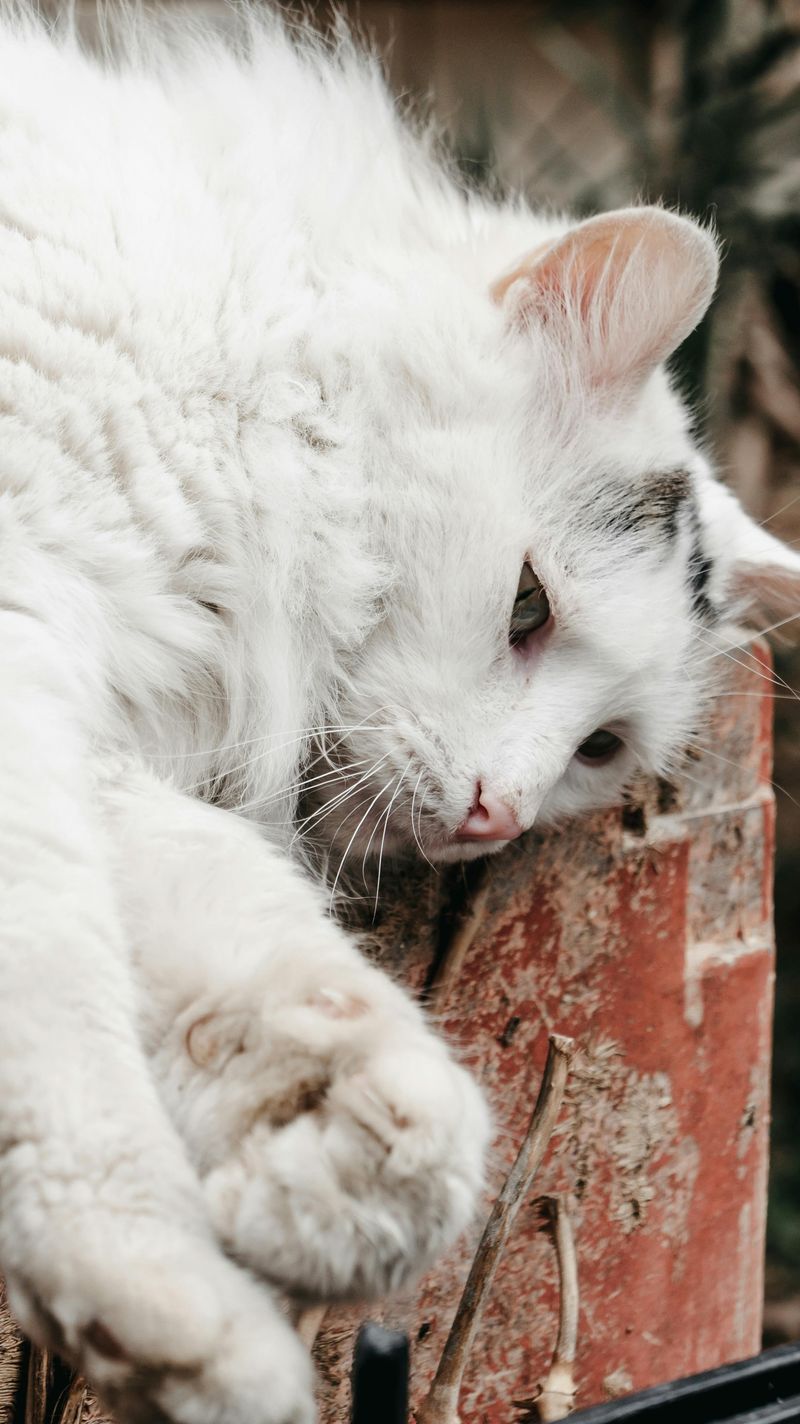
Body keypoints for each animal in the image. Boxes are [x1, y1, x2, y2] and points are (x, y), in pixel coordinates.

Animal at [0, 2, 791, 1424]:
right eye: (525, 605)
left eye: (597, 751)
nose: (492, 814)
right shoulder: (23, 641)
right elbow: (57, 1004)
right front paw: (164, 1289)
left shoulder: (96, 725)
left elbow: (240, 938)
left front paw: (338, 1160)